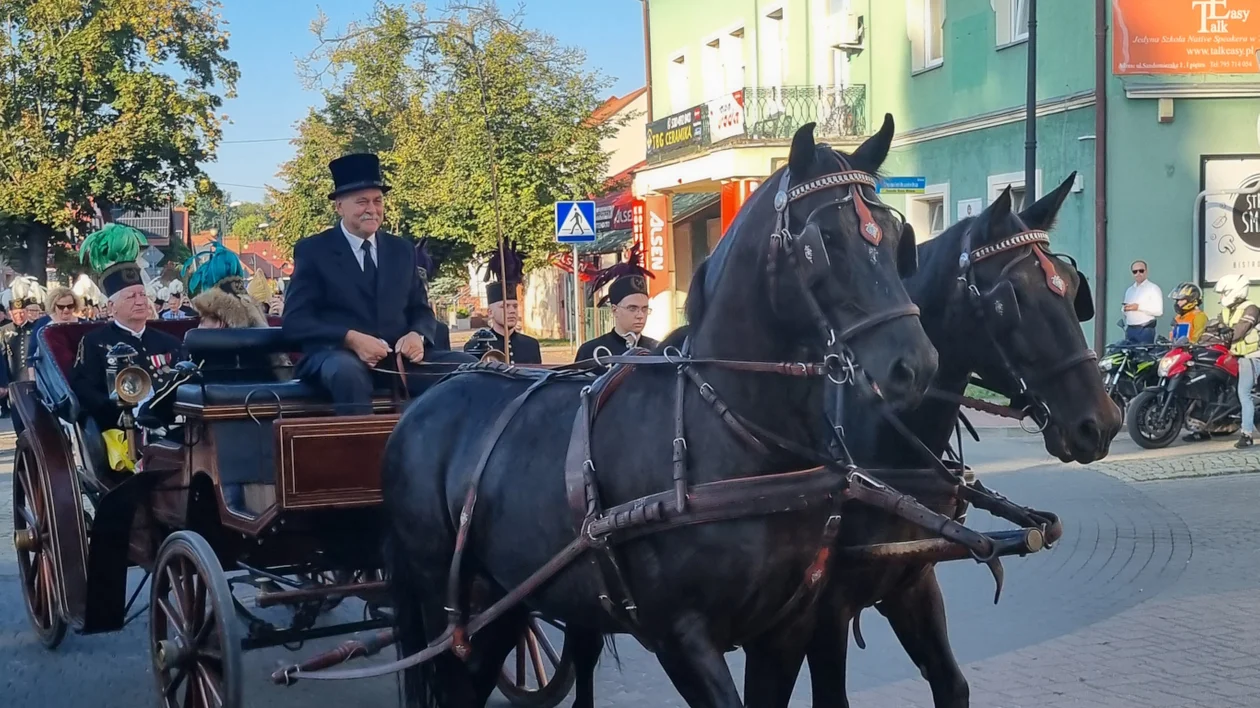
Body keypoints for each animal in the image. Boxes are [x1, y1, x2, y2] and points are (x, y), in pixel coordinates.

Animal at [378, 117, 942, 705]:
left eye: (895, 237)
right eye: (824, 242)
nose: (916, 364)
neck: (734, 435)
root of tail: (424, 401)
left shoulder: (786, 629)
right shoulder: (680, 638)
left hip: (504, 602)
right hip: (451, 606)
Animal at [786, 175, 1123, 705]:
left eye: (1073, 290)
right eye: (1013, 298)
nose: (1102, 422)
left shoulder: (912, 583)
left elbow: (951, 682)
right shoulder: (822, 614)